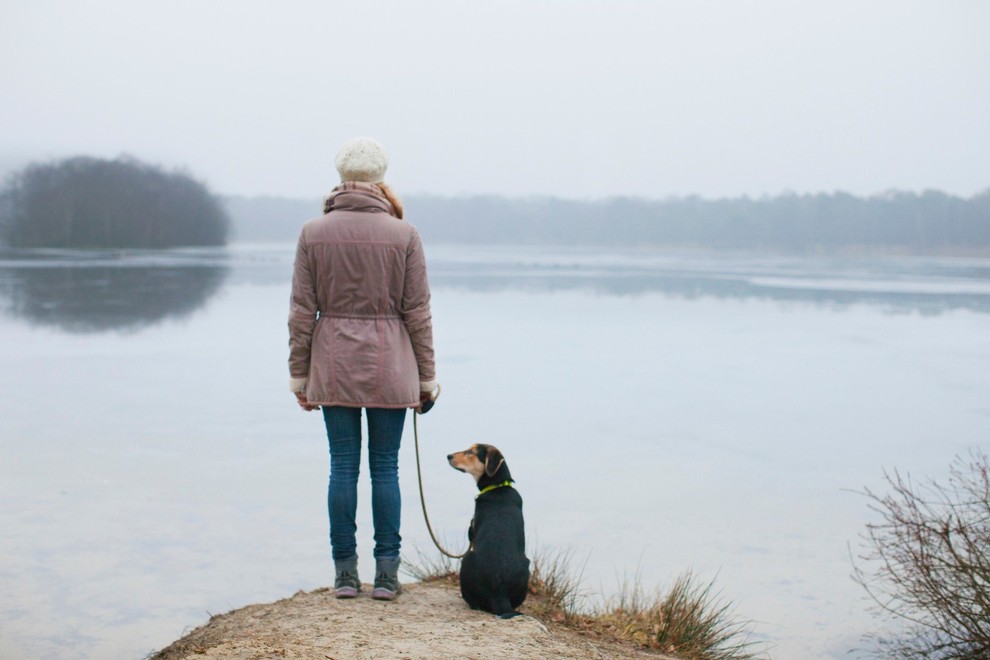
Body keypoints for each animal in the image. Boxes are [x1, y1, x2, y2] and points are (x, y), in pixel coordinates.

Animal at [448, 444, 532, 620]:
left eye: (470, 452)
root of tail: (499, 594)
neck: (498, 486)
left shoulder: (473, 532)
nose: (448, 456)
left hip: (467, 558)